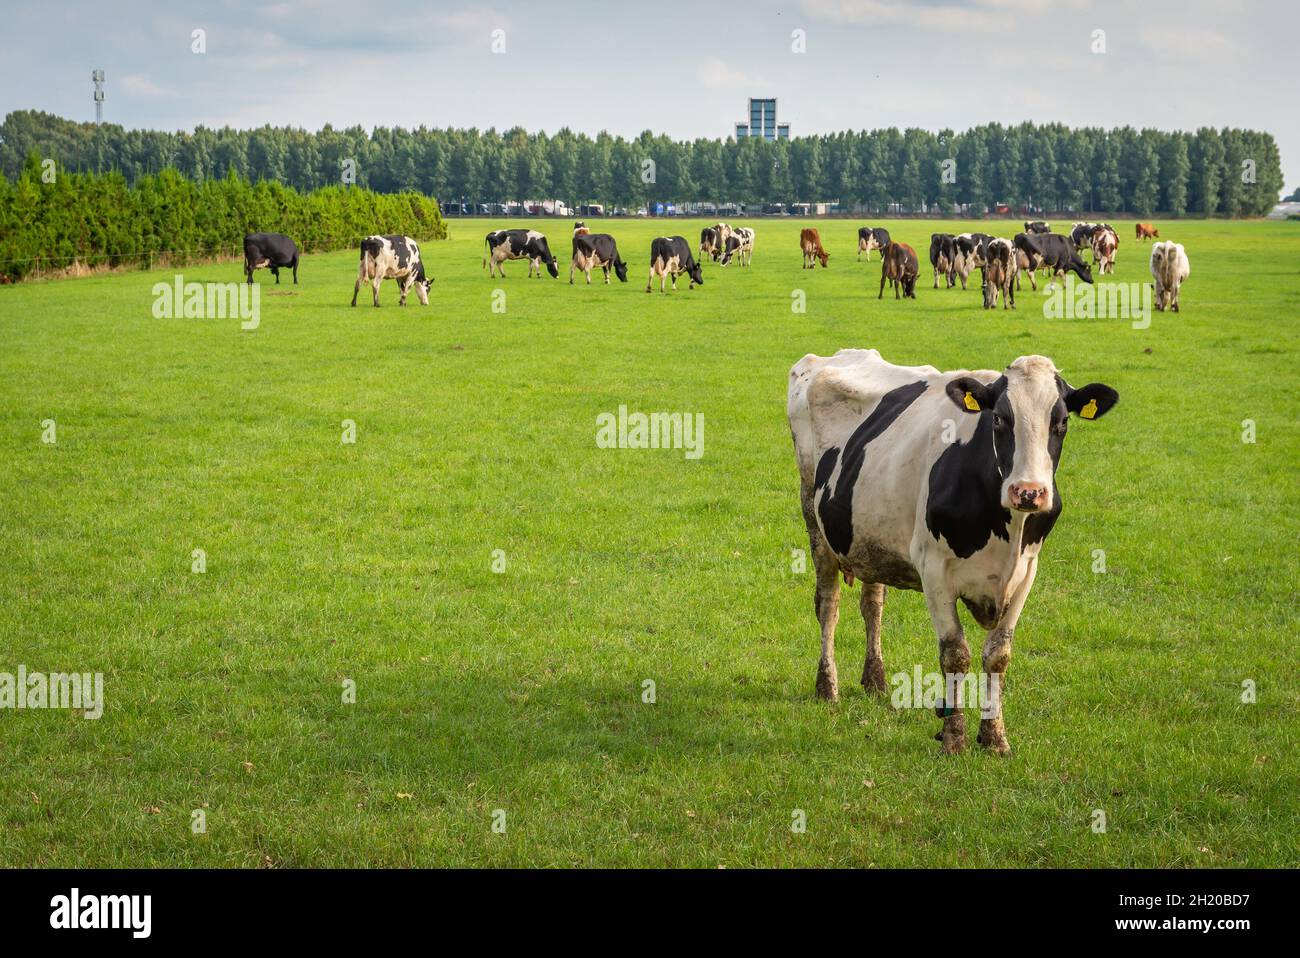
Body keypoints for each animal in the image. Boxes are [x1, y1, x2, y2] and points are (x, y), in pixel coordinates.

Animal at [787, 348, 1119, 753]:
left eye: (1062, 422)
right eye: (999, 419)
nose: (1028, 491)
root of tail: (838, 354)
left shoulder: (1027, 571)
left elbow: (998, 655)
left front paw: (994, 738)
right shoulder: (934, 571)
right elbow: (955, 653)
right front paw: (954, 738)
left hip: (868, 533)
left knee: (873, 604)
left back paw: (875, 679)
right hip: (814, 521)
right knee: (828, 604)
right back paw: (827, 686)